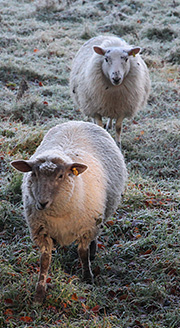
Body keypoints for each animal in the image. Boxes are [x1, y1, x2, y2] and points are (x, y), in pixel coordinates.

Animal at [10, 121, 127, 304]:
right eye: (34, 173)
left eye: (60, 175)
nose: (42, 203)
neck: (58, 214)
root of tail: (78, 121)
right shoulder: (42, 232)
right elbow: (45, 262)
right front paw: (39, 294)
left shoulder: (86, 227)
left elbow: (83, 253)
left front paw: (87, 278)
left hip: (98, 216)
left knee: (95, 236)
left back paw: (93, 252)